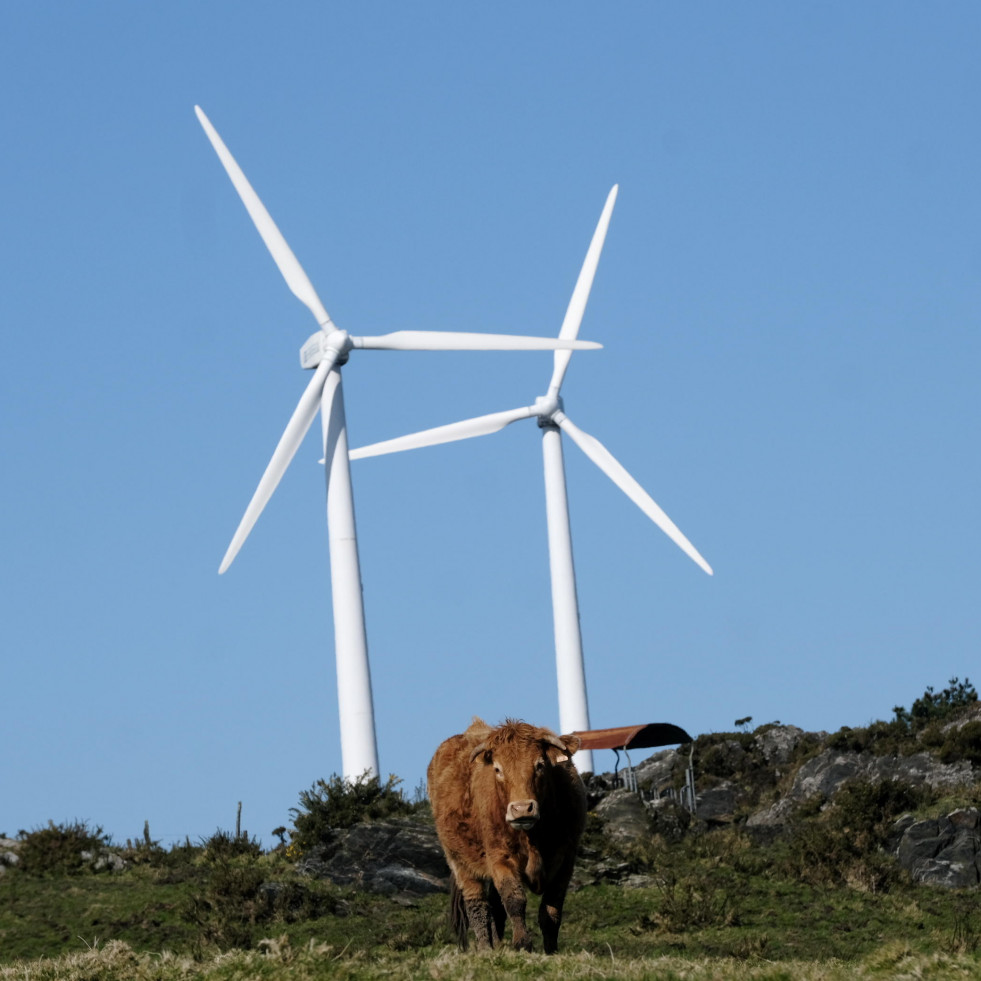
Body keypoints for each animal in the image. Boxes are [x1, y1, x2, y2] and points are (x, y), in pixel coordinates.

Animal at [426, 716, 580, 952]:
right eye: (498, 769)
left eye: (540, 765)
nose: (522, 808)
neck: (534, 838)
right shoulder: (500, 857)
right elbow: (514, 900)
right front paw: (522, 944)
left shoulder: (566, 859)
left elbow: (551, 911)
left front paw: (551, 951)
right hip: (460, 862)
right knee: (478, 906)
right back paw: (485, 949)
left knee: (494, 907)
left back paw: (497, 945)